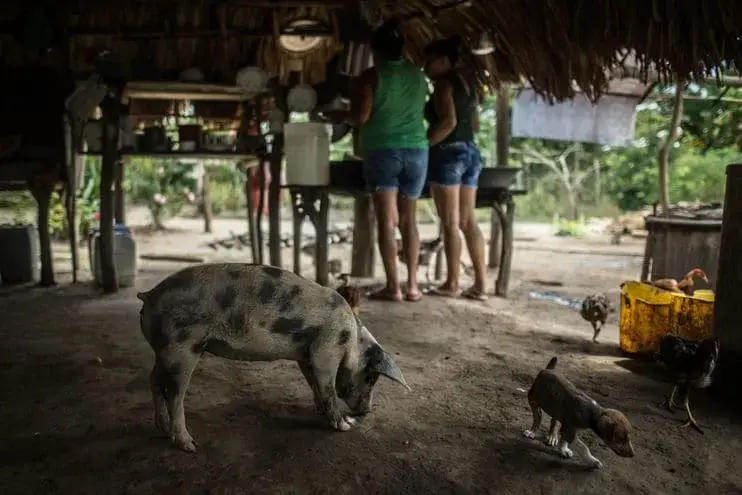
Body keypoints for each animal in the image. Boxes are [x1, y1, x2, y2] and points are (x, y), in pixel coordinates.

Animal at [137, 264, 410, 454]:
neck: (350, 339)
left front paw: (320, 410)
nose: (367, 410)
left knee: (153, 381)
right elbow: (328, 388)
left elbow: (314, 383)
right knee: (174, 394)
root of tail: (149, 295)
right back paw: (190, 446)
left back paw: (162, 428)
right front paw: (344, 426)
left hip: (164, 351)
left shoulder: (305, 355)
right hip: (182, 347)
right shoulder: (326, 350)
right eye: (371, 377)